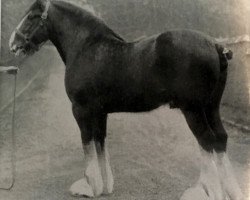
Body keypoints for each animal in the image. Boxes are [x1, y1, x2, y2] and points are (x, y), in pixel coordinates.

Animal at [9, 0, 242, 199]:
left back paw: (210, 191)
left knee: (206, 141)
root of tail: (215, 45)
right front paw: (104, 187)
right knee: (219, 139)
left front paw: (90, 187)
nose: (13, 43)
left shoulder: (81, 110)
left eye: (32, 16)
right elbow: (100, 144)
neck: (86, 47)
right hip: (211, 107)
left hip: (193, 109)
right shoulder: (99, 112)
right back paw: (231, 191)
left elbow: (88, 145)